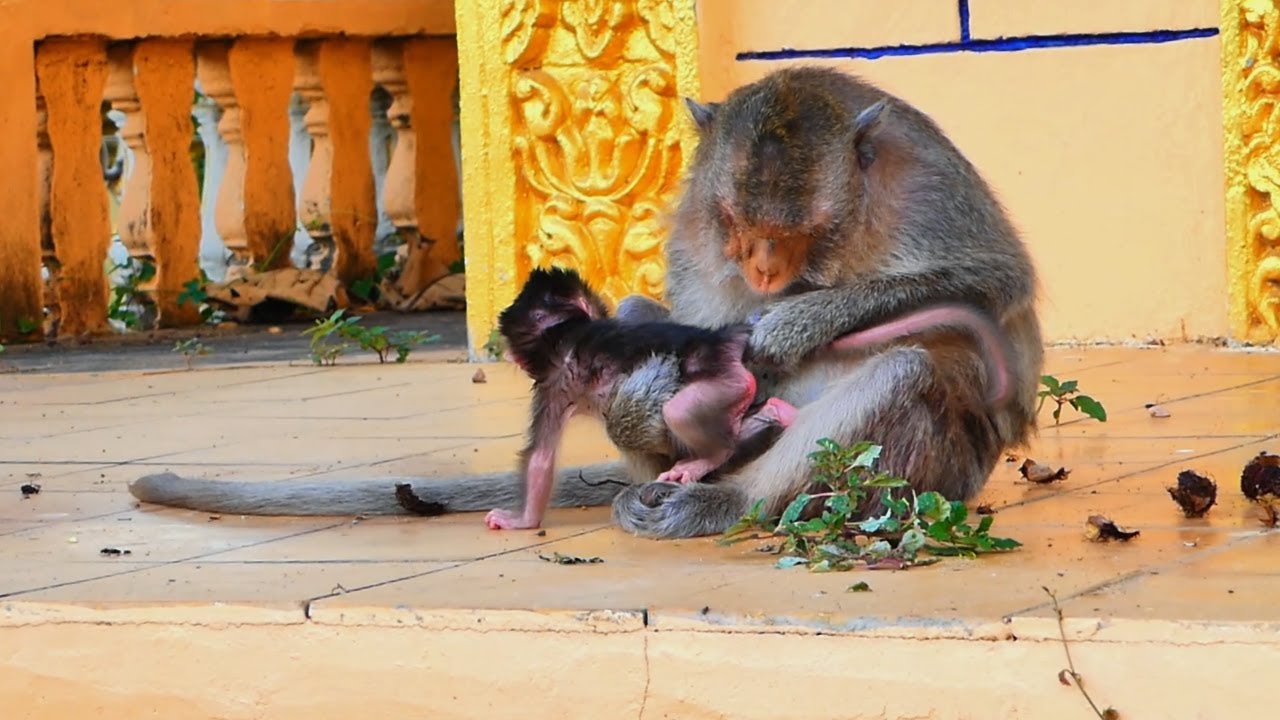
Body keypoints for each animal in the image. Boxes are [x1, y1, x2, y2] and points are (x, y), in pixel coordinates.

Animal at [126, 66, 1042, 541]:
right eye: (737, 226)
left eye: (794, 234)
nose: (763, 270)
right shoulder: (692, 217)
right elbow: (667, 311)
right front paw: (658, 383)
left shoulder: (925, 188)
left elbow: (994, 292)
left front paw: (797, 321)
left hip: (935, 474)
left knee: (909, 370)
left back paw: (726, 500)